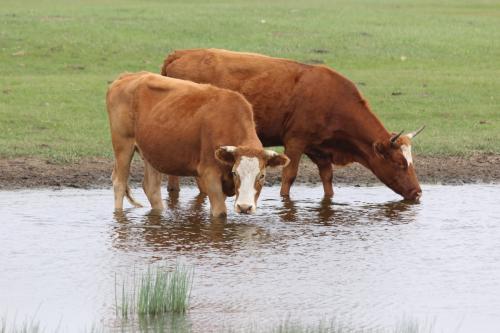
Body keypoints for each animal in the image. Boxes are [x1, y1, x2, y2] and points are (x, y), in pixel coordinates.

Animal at [107, 71, 292, 217]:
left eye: (262, 176)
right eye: (235, 173)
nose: (244, 207)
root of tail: (127, 77)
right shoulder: (209, 174)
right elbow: (220, 213)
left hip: (150, 151)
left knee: (151, 187)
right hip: (123, 144)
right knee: (119, 183)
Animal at [162, 49, 424, 200]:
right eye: (400, 163)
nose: (417, 192)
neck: (333, 99)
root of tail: (179, 54)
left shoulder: (319, 148)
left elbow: (327, 179)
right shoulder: (295, 141)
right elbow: (289, 176)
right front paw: (284, 199)